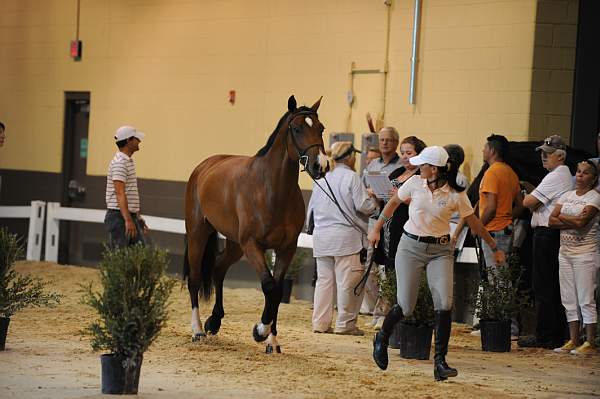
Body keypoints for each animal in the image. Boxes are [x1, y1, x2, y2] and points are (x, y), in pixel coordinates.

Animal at [185, 96, 330, 354]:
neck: (271, 189)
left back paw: (215, 320)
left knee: (219, 268)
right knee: (194, 280)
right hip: (198, 234)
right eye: (297, 128)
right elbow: (269, 286)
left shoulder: (286, 248)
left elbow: (278, 291)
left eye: (321, 128)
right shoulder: (253, 245)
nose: (320, 166)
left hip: (234, 244)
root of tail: (204, 167)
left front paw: (272, 341)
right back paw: (198, 330)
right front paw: (259, 331)